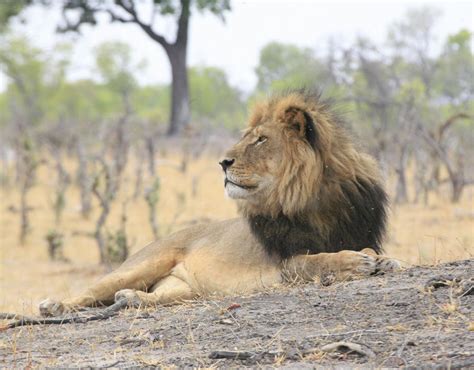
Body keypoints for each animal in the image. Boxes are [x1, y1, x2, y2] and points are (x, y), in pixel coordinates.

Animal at [39, 90, 400, 318]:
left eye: (261, 139)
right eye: (248, 137)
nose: (223, 162)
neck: (315, 198)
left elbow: (370, 249)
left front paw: (384, 260)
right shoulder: (285, 264)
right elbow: (320, 260)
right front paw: (356, 263)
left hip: (191, 291)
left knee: (150, 298)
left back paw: (128, 298)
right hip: (141, 264)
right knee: (90, 292)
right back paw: (54, 306)